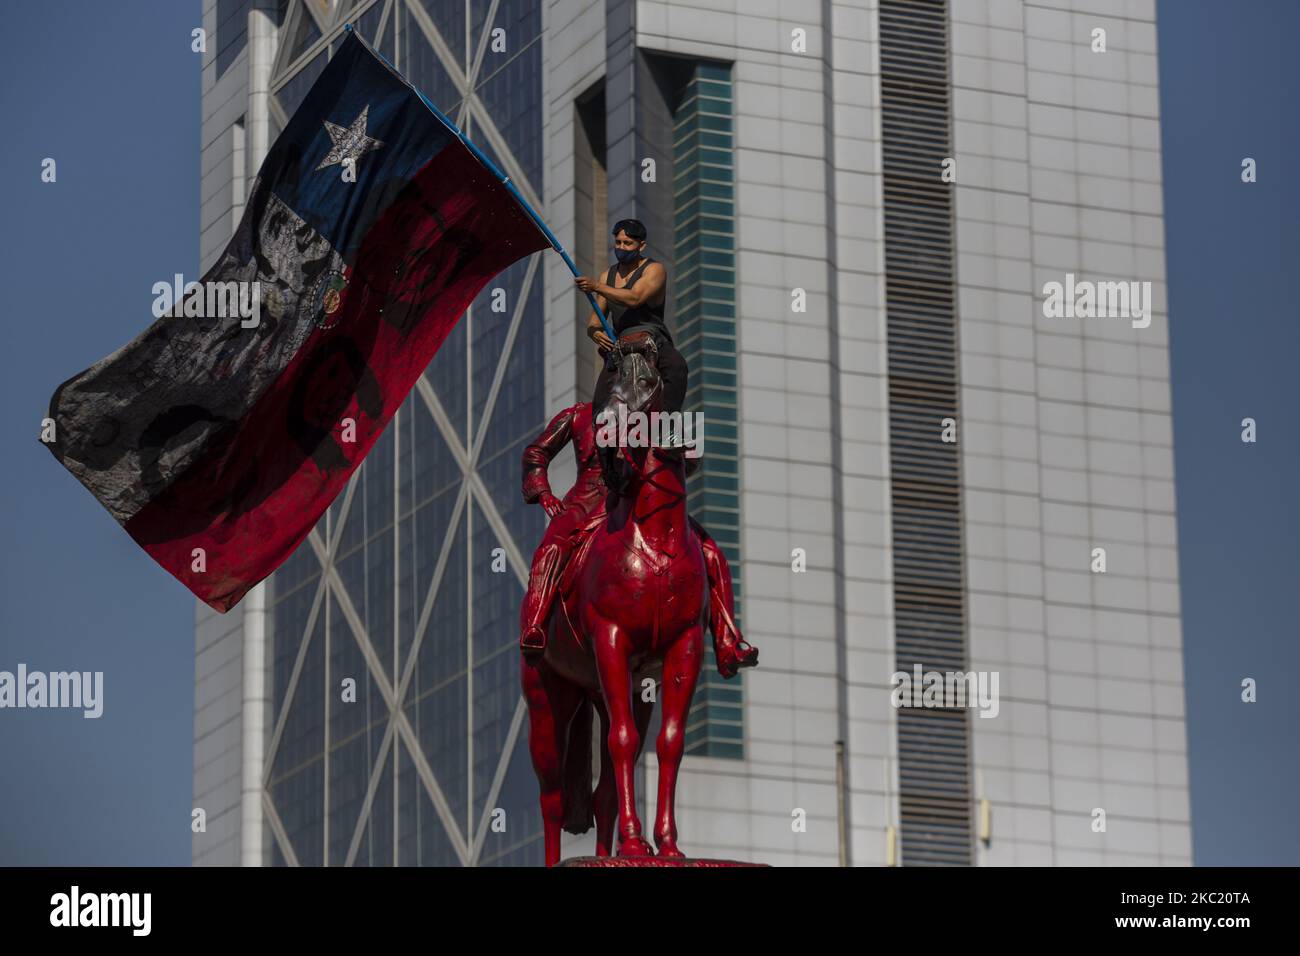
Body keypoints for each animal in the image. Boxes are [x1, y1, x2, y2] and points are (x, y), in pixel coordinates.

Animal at [517, 332, 743, 863]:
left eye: (649, 380)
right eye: (612, 373)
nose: (607, 427)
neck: (653, 536)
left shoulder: (682, 648)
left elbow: (667, 742)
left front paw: (666, 845)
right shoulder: (611, 638)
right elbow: (623, 741)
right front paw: (640, 843)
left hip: (609, 691)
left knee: (600, 793)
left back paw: (609, 851)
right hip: (548, 696)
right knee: (552, 797)